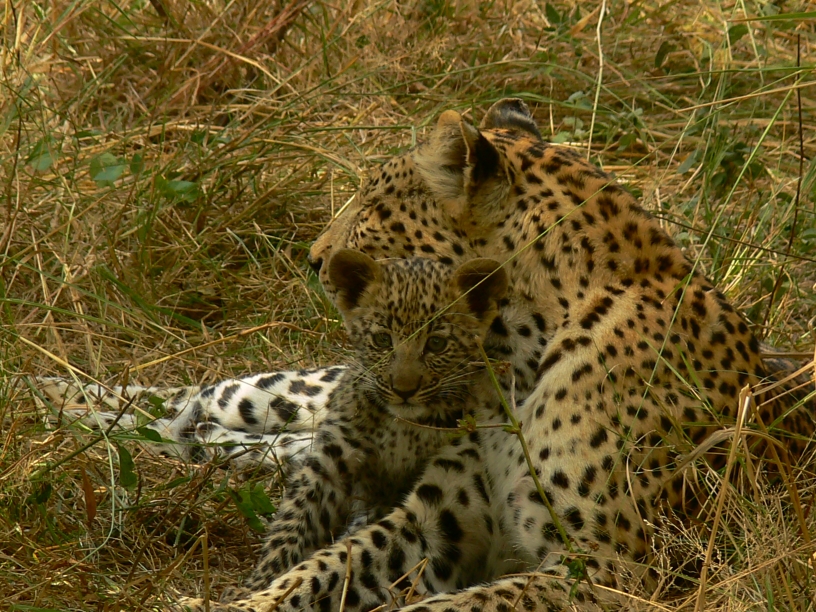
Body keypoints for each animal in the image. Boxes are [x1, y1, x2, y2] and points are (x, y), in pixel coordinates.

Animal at [172, 98, 815, 612]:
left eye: (372, 207)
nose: (313, 257)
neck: (518, 355)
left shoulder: (612, 570)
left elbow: (453, 606)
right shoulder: (438, 518)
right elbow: (324, 567)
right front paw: (233, 603)